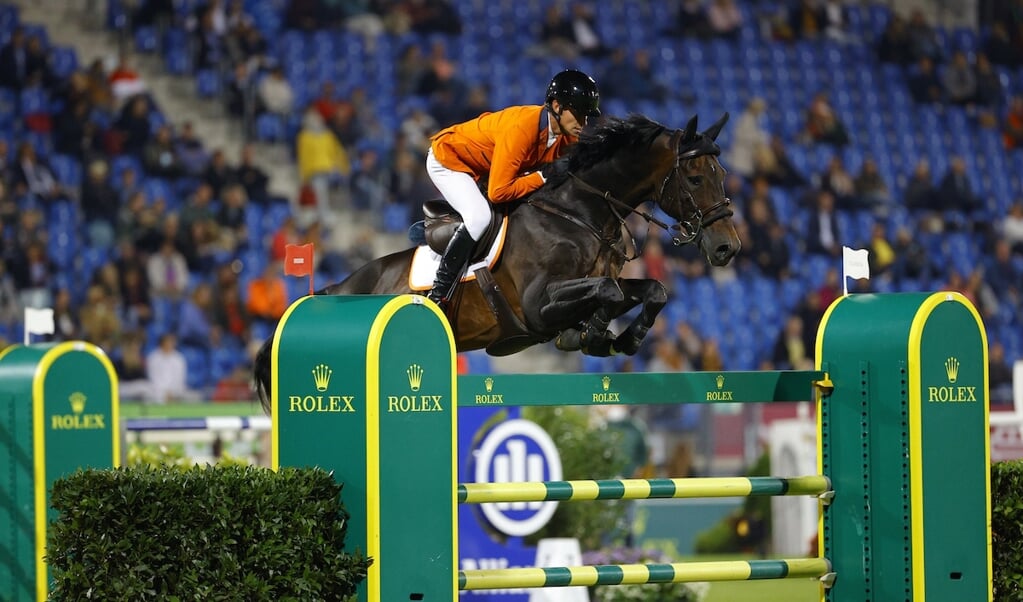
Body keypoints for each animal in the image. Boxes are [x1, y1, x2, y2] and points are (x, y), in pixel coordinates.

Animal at [252, 113, 740, 411]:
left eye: (721, 174)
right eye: (695, 177)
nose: (727, 248)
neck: (581, 212)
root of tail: (334, 288)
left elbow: (648, 290)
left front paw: (622, 338)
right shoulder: (538, 304)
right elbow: (608, 291)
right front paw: (591, 335)